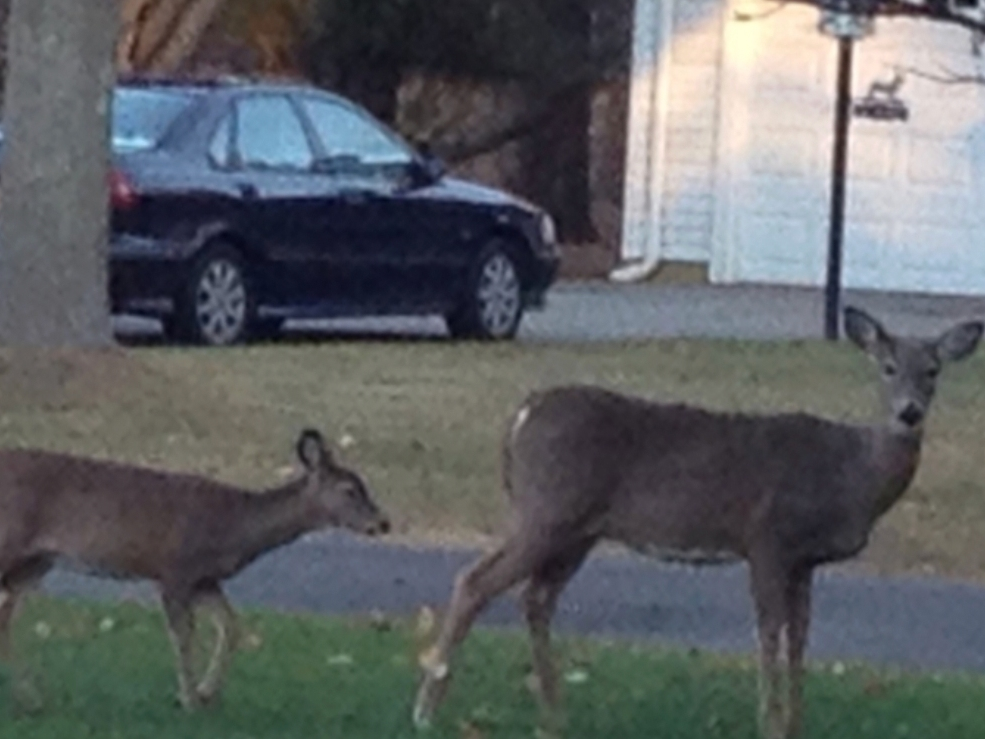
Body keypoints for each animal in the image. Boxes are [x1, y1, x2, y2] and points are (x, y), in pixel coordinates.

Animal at [0, 428, 390, 711]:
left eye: (364, 485)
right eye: (349, 489)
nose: (383, 523)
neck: (234, 527)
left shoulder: (204, 578)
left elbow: (231, 626)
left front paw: (206, 693)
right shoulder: (175, 570)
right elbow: (183, 637)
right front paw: (188, 698)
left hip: (34, 562)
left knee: (6, 619)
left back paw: (30, 697)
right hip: (11, 545)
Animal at [412, 306, 983, 739]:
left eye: (933, 370)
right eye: (886, 367)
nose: (909, 413)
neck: (849, 475)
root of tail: (522, 413)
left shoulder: (805, 560)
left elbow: (801, 638)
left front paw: (796, 724)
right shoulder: (767, 537)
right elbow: (768, 633)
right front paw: (770, 725)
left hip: (579, 530)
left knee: (535, 598)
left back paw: (555, 715)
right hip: (547, 509)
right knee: (475, 581)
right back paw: (425, 711)